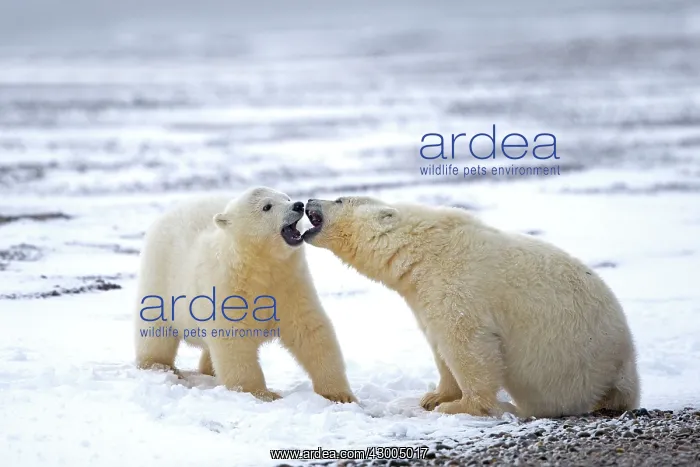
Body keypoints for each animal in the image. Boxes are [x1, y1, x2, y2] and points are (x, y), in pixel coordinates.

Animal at [134, 187, 356, 403]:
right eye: (267, 206)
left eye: (286, 197)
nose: (298, 205)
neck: (256, 268)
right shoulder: (227, 290)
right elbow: (233, 339)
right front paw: (262, 393)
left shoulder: (290, 284)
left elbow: (310, 330)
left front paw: (340, 395)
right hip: (160, 274)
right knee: (156, 327)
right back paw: (158, 365)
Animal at [302, 195, 639, 418]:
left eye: (339, 198)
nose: (309, 200)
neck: (420, 250)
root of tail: (625, 363)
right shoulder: (422, 295)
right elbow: (439, 344)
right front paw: (433, 396)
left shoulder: (457, 284)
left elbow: (466, 345)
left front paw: (459, 406)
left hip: (569, 366)